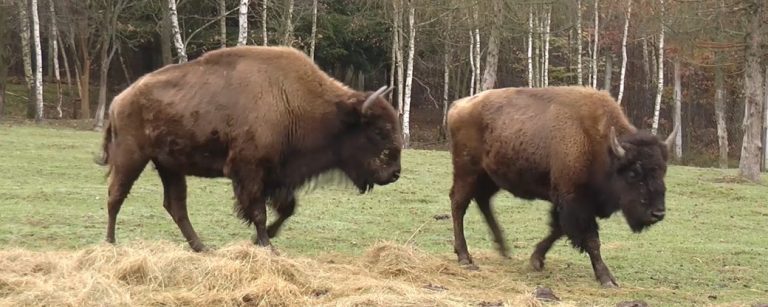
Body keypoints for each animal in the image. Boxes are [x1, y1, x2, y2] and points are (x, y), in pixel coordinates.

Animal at [97, 45, 402, 253]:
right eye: (379, 131)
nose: (395, 173)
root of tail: (119, 100)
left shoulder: (279, 176)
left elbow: (287, 209)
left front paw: (261, 239)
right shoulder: (250, 172)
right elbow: (258, 212)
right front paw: (266, 245)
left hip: (170, 165)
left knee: (175, 205)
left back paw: (202, 247)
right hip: (131, 157)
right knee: (116, 196)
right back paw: (110, 243)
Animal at [444, 86, 680, 288]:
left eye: (662, 171)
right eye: (634, 173)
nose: (658, 213)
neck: (599, 144)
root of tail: (458, 105)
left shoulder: (568, 202)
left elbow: (558, 229)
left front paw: (536, 260)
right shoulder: (575, 201)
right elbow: (590, 239)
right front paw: (607, 279)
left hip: (490, 177)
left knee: (483, 201)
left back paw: (503, 249)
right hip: (468, 172)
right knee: (459, 204)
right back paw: (465, 257)